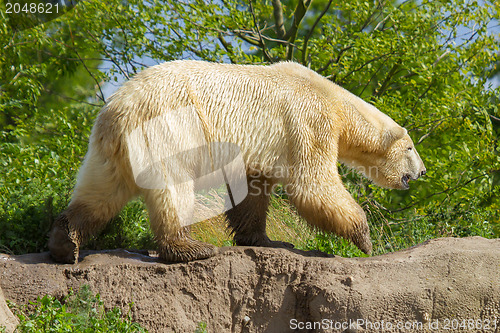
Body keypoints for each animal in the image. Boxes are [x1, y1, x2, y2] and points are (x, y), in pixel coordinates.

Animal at [48, 59, 426, 262]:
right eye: (410, 148)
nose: (421, 171)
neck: (334, 101)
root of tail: (119, 108)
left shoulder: (263, 151)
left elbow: (252, 192)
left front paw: (268, 240)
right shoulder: (308, 121)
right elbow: (313, 184)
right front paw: (365, 238)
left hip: (109, 150)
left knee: (100, 192)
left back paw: (66, 242)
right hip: (168, 129)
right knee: (173, 188)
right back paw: (192, 248)